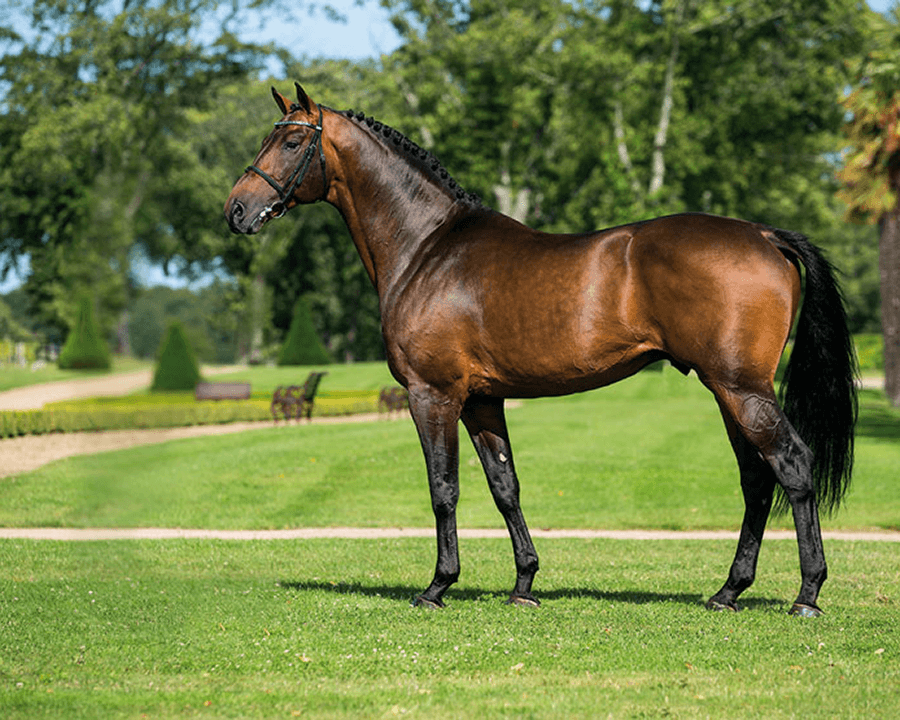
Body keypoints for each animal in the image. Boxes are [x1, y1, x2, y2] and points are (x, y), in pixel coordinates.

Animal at [225, 83, 856, 612]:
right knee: (757, 479)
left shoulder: (433, 395)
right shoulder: (483, 401)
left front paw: (437, 586)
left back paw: (807, 594)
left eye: (290, 140)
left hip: (741, 387)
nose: (235, 210)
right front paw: (524, 583)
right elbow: (505, 487)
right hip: (729, 390)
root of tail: (764, 235)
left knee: (792, 465)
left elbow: (443, 489)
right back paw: (728, 592)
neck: (428, 247)